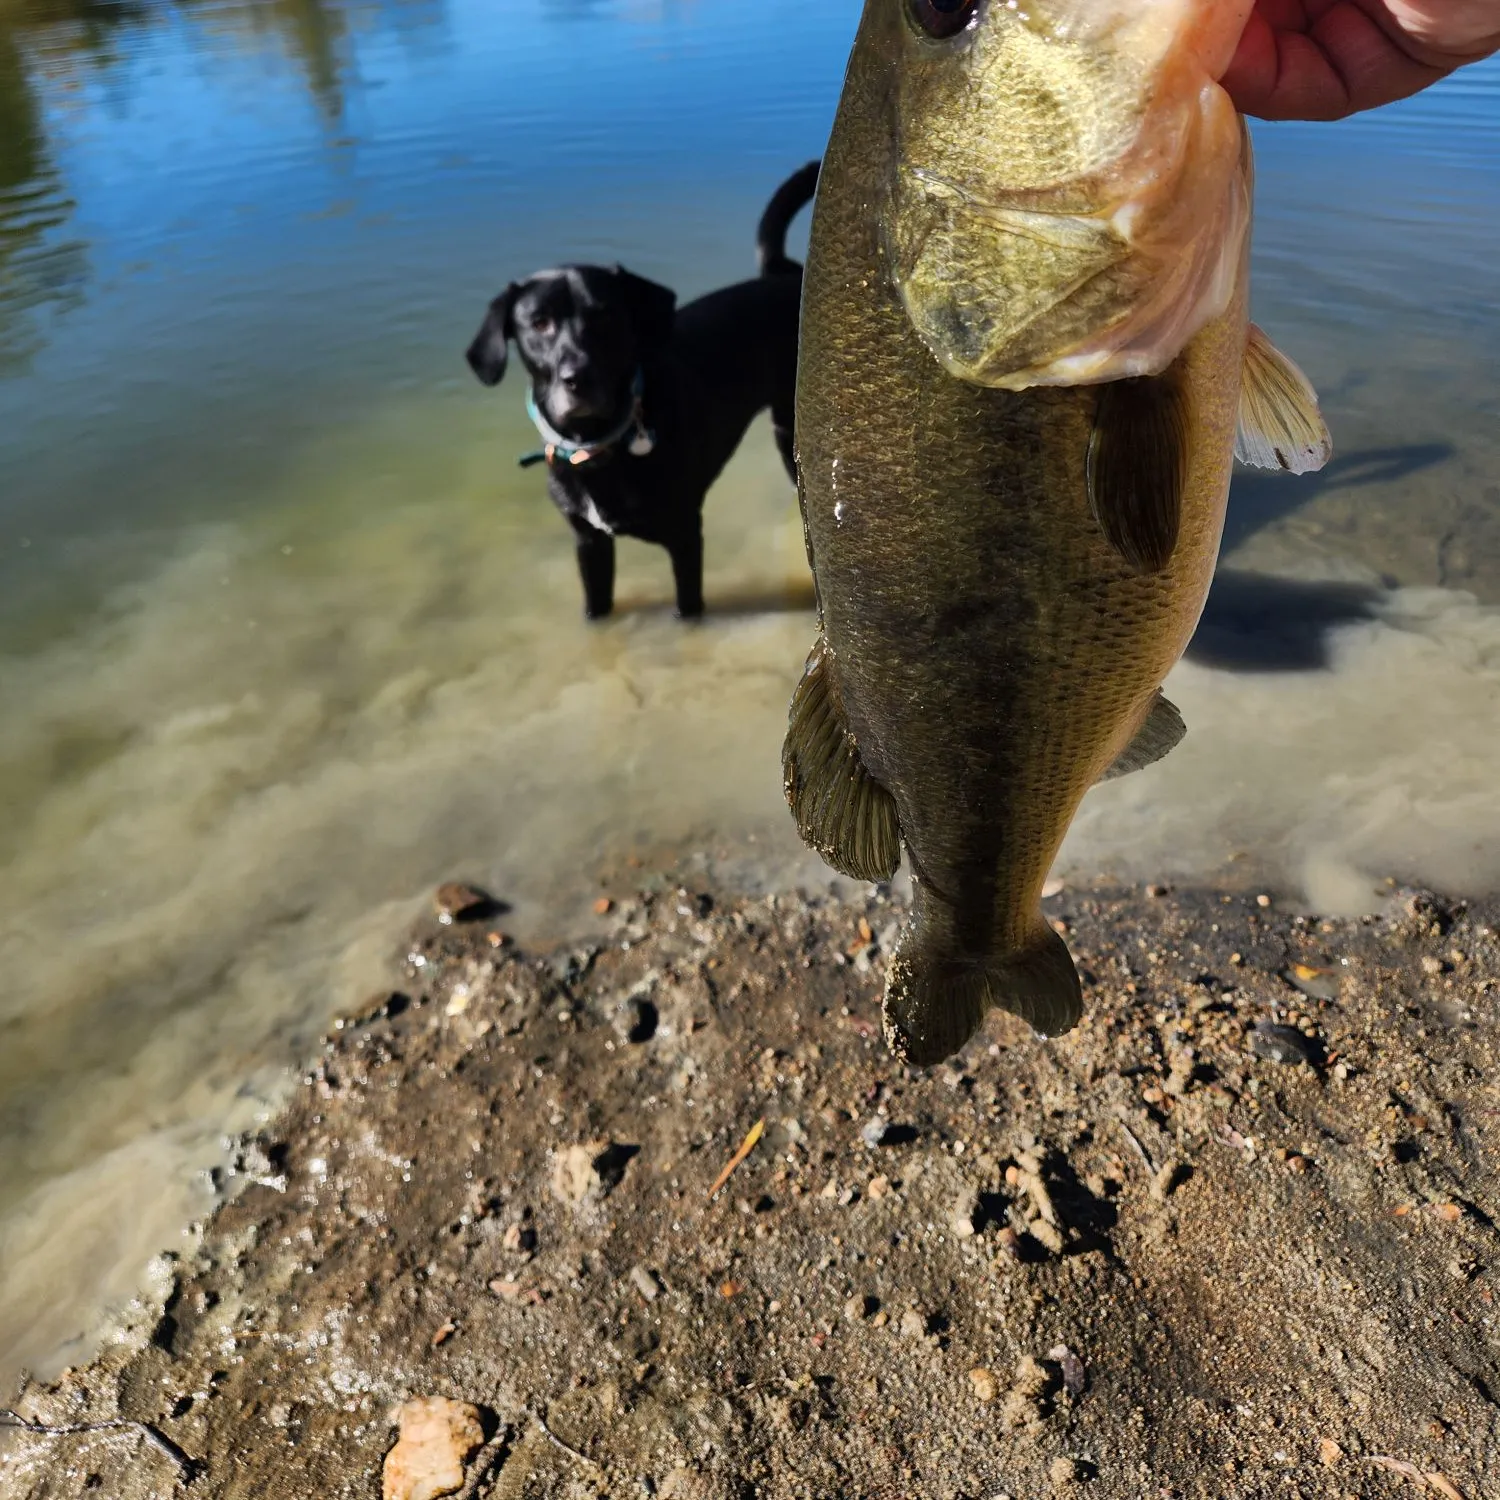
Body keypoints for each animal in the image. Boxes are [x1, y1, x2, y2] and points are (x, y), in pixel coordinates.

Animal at [468, 156, 822, 615]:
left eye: (605, 315)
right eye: (539, 323)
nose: (578, 377)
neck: (596, 446)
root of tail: (781, 273)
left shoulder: (684, 537)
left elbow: (688, 608)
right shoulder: (589, 543)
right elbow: (596, 608)